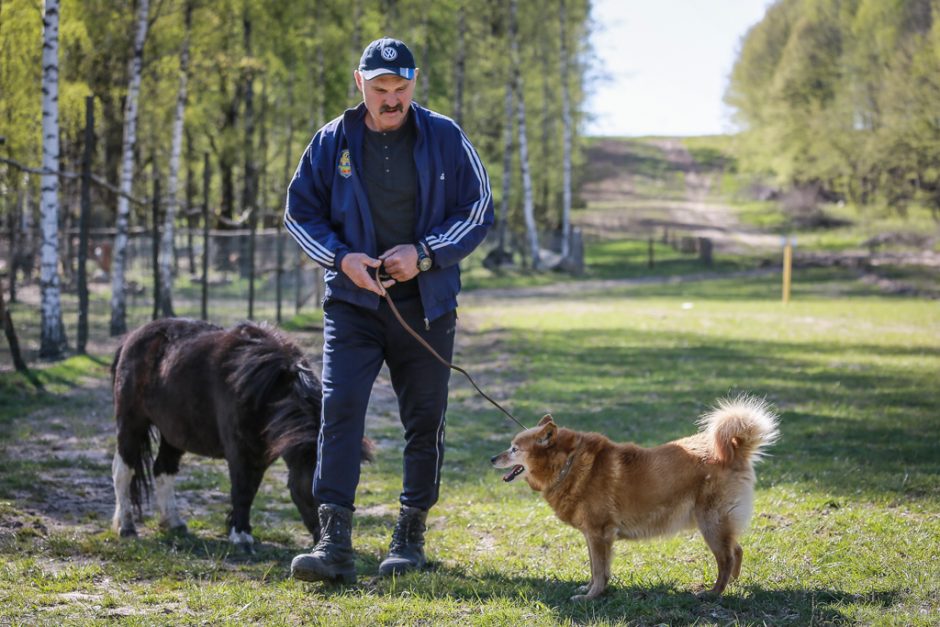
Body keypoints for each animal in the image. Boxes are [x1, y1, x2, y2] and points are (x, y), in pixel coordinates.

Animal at [110, 318, 370, 548]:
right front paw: (241, 536)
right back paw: (126, 527)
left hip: (173, 432)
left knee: (163, 469)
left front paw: (237, 527)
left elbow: (249, 490)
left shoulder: (260, 455)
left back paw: (173, 523)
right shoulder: (241, 452)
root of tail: (131, 339)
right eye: (314, 492)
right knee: (123, 470)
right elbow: (243, 489)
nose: (322, 540)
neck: (264, 389)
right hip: (132, 423)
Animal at [492, 394, 780, 600]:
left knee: (727, 557)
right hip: (719, 524)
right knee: (737, 550)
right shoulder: (594, 536)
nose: (492, 458)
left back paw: (713, 593)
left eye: (514, 449)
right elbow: (597, 568)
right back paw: (732, 585)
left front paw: (590, 596)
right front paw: (591, 589)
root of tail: (735, 450)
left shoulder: (599, 534)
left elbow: (599, 570)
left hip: (711, 523)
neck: (568, 463)